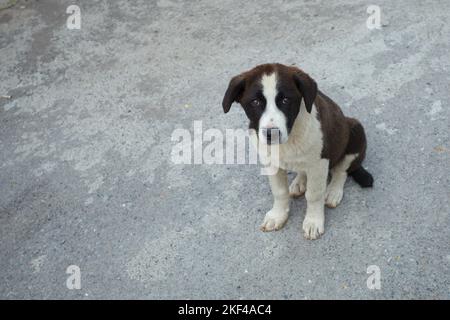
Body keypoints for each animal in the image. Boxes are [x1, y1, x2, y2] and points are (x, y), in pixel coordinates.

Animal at [221, 62, 372, 239]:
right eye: (256, 102)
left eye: (286, 100)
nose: (272, 134)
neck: (291, 135)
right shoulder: (270, 162)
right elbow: (279, 191)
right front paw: (278, 215)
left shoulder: (319, 162)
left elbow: (314, 194)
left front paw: (313, 221)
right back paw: (300, 182)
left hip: (355, 130)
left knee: (341, 171)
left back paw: (333, 191)